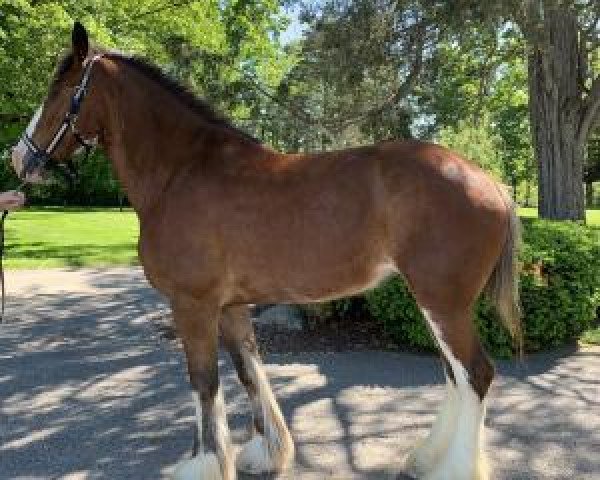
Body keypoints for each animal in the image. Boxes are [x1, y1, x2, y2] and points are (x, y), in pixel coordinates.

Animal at [12, 22, 520, 480]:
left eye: (60, 90)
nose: (19, 157)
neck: (181, 171)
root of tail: (492, 183)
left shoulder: (192, 304)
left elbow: (204, 382)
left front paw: (201, 464)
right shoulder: (230, 306)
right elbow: (247, 372)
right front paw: (265, 453)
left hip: (443, 302)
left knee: (475, 374)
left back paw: (452, 468)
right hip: (434, 302)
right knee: (454, 375)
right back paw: (425, 459)